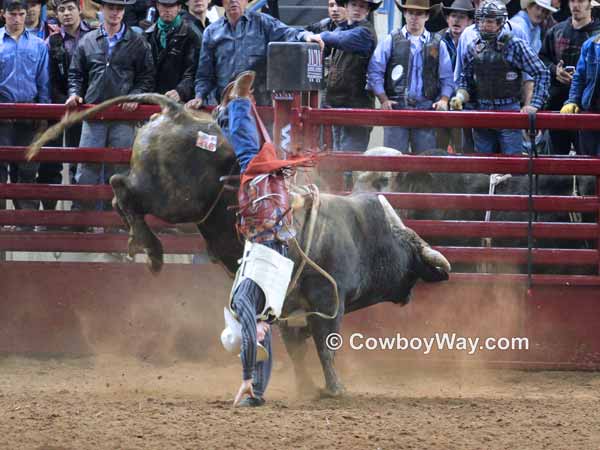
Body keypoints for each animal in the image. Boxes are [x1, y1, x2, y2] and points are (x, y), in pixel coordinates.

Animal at [28, 94, 450, 394]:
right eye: (410, 260)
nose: (422, 286)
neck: (363, 233)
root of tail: (178, 114)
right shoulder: (328, 300)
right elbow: (325, 345)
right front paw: (335, 389)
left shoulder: (290, 305)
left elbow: (296, 345)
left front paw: (307, 387)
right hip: (173, 199)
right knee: (121, 189)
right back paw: (152, 249)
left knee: (122, 191)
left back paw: (147, 246)